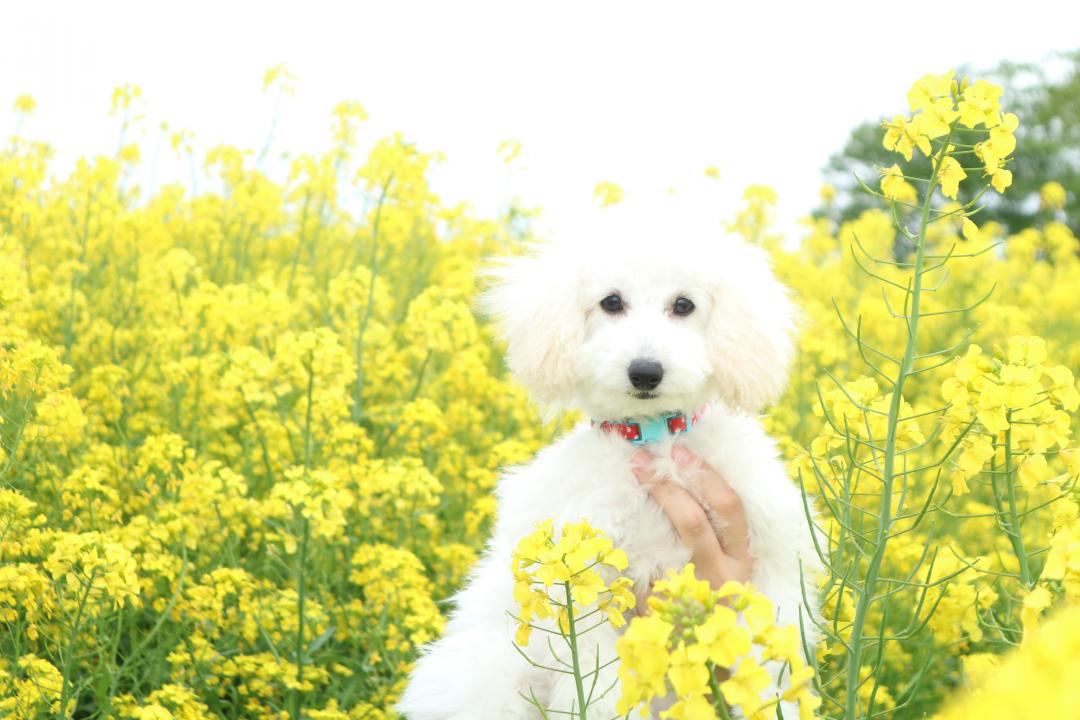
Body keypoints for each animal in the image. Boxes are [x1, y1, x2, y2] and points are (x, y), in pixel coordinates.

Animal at [399, 211, 816, 716]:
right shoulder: (586, 586)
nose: (645, 371)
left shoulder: (772, 556)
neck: (655, 440)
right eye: (611, 302)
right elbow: (603, 688)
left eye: (684, 305)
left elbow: (773, 656)